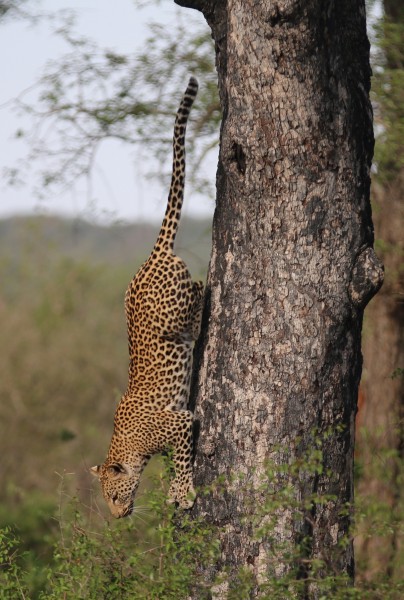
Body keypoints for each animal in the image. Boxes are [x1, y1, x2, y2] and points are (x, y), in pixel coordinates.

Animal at [92, 76, 205, 516]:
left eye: (113, 495)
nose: (117, 517)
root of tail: (152, 255)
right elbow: (176, 459)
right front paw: (176, 489)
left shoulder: (182, 421)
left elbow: (184, 458)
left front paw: (182, 491)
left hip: (177, 308)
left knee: (200, 290)